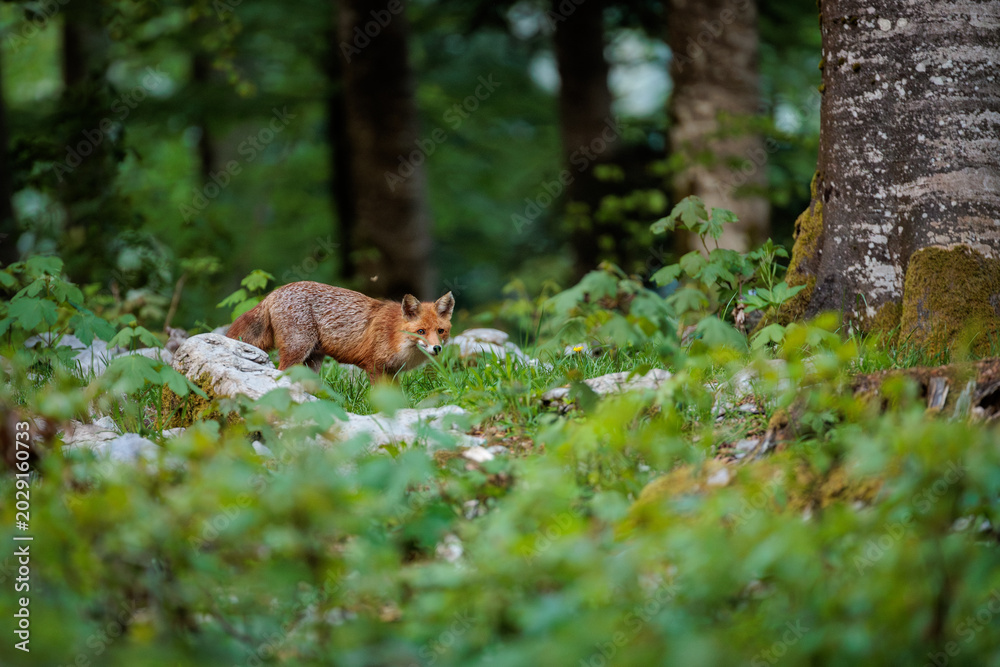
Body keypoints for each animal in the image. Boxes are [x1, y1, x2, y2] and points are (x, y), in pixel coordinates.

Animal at [226, 281, 455, 381]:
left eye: (440, 331)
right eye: (421, 331)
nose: (436, 348)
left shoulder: (393, 372)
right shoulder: (375, 368)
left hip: (313, 361)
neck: (396, 337)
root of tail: (275, 292)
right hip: (297, 350)